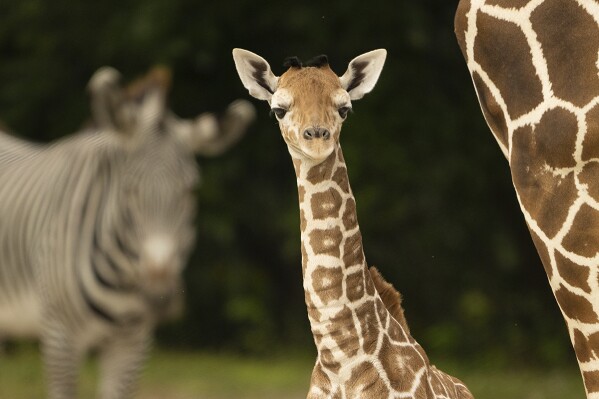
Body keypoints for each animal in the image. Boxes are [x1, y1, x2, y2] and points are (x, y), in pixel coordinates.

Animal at [0, 67, 255, 398]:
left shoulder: (133, 341)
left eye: (191, 191)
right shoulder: (60, 336)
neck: (121, 278)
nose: (159, 296)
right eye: (129, 190)